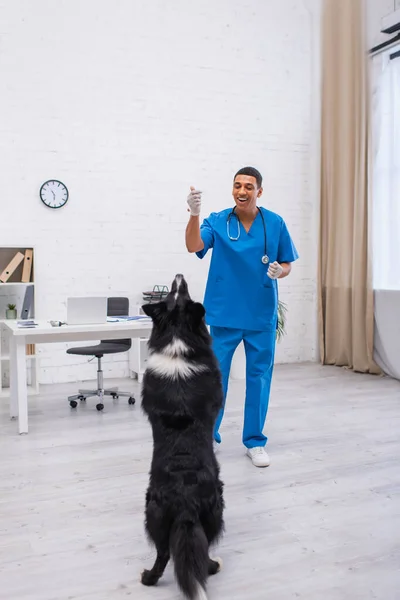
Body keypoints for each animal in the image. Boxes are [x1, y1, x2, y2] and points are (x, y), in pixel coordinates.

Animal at [140, 274, 225, 596]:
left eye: (178, 294)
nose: (178, 276)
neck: (177, 334)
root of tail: (185, 501)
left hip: (154, 513)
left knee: (164, 553)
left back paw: (148, 578)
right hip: (213, 508)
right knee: (192, 550)